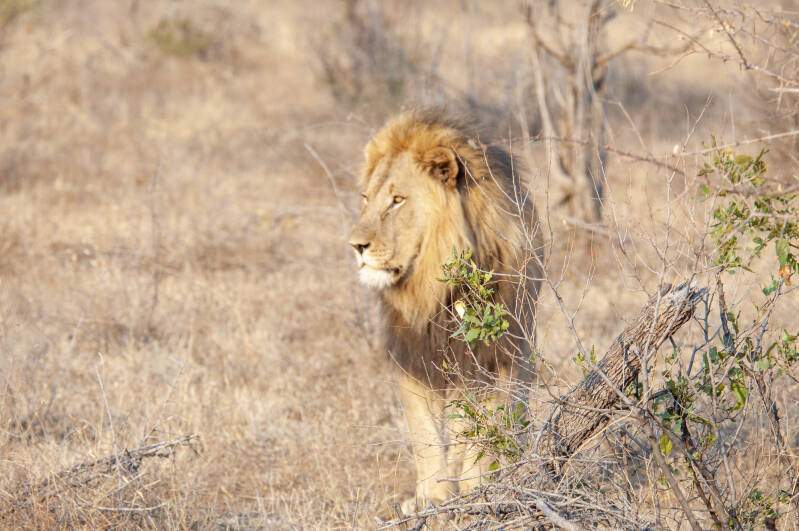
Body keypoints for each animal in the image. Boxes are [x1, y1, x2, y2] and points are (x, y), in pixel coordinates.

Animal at [349, 108, 543, 512]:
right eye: (365, 198)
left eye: (397, 200)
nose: (355, 245)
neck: (432, 290)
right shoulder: (413, 354)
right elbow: (424, 430)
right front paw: (434, 497)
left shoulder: (492, 356)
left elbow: (483, 429)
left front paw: (475, 491)